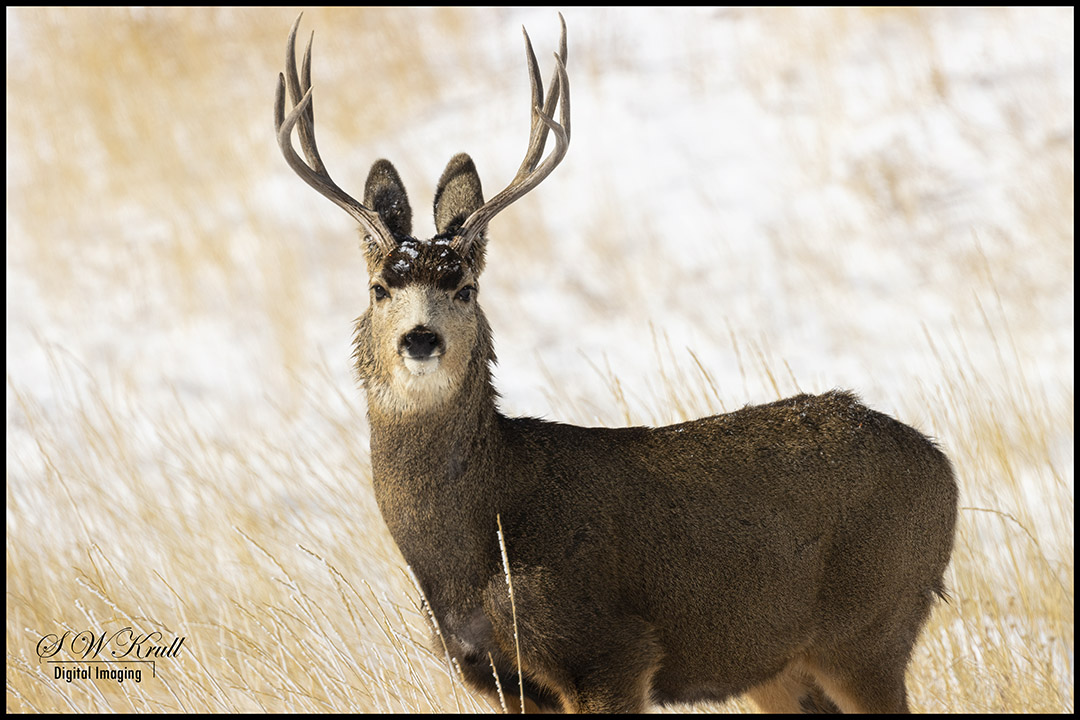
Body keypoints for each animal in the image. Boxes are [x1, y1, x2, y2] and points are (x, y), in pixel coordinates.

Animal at [274, 13, 958, 714]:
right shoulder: (502, 679)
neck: (478, 545)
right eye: (379, 288)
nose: (420, 339)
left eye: (465, 286)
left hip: (869, 626)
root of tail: (944, 466)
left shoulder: (610, 651)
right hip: (781, 664)